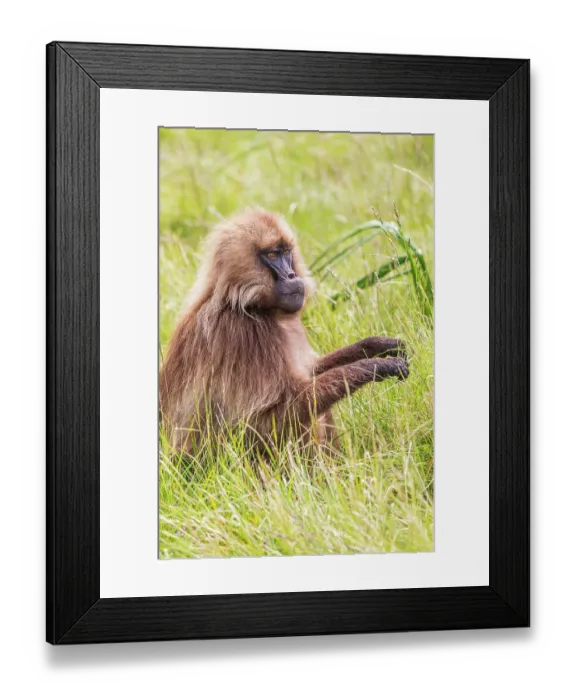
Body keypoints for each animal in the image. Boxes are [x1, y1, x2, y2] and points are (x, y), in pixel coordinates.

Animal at [160, 209, 409, 455]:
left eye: (287, 253)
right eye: (271, 255)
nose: (292, 276)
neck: (243, 302)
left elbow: (310, 371)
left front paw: (376, 346)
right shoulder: (242, 333)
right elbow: (264, 419)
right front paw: (375, 366)